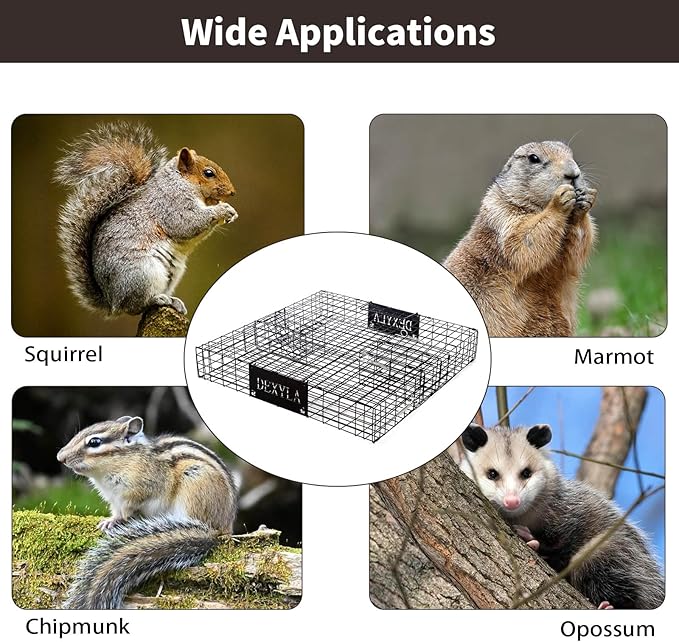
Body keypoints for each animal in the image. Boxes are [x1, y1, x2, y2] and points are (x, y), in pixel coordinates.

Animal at [55, 122, 238, 317]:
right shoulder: (172, 205)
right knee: (135, 306)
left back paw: (174, 301)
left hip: (172, 274)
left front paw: (231, 212)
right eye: (208, 173)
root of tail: (112, 301)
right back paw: (158, 299)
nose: (232, 192)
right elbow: (188, 223)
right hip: (143, 274)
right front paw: (222, 210)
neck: (181, 182)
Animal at [56, 416, 238, 609]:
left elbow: (128, 510)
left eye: (94, 442)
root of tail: (223, 528)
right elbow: (116, 511)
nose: (60, 457)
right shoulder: (115, 500)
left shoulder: (139, 492)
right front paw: (109, 520)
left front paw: (118, 521)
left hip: (194, 484)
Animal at [443, 141, 597, 337]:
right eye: (533, 158)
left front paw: (585, 199)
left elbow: (571, 257)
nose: (573, 173)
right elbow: (520, 240)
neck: (536, 208)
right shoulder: (502, 215)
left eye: (570, 153)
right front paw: (559, 201)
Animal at [457, 423, 664, 609]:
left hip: (613, 553)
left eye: (526, 473)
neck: (521, 516)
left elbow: (565, 542)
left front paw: (532, 541)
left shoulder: (568, 510)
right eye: (492, 474)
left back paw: (610, 605)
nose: (512, 502)